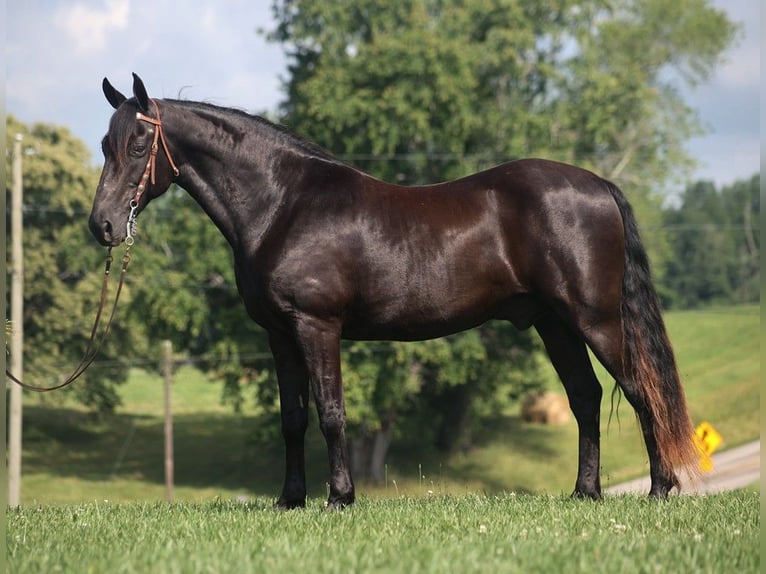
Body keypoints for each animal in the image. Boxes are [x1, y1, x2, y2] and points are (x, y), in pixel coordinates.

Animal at [89, 74, 699, 509]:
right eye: (104, 144)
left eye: (140, 144)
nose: (102, 226)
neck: (283, 203)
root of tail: (599, 185)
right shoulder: (279, 336)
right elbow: (294, 418)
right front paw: (290, 501)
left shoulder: (316, 326)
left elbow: (332, 413)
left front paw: (339, 498)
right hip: (555, 325)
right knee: (586, 398)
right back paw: (585, 493)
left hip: (595, 321)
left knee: (640, 392)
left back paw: (659, 490)